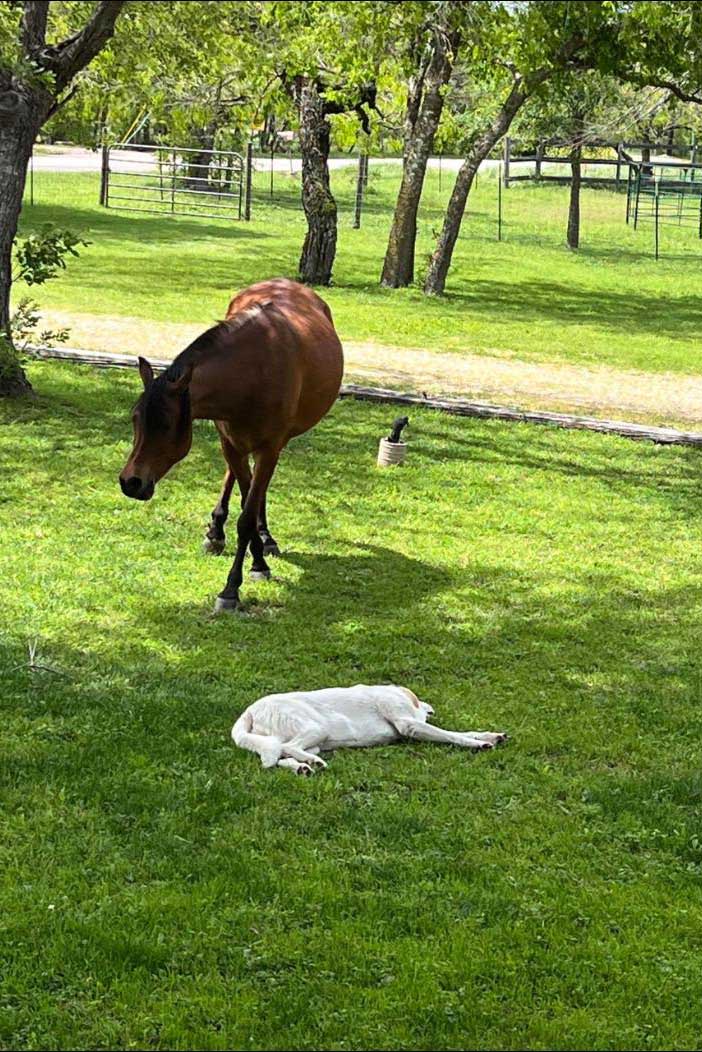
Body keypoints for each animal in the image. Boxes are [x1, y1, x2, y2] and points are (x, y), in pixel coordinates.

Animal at [121, 275, 345, 614]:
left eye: (166, 425)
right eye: (135, 419)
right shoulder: (230, 442)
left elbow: (247, 515)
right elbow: (244, 498)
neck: (252, 372)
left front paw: (234, 586)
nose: (130, 482)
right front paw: (254, 558)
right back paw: (218, 532)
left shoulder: (269, 448)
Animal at [233, 685, 507, 778]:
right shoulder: (409, 724)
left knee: (280, 756)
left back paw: (305, 767)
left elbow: (465, 730)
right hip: (314, 728)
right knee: (287, 748)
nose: (432, 707)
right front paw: (477, 744)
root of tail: (251, 709)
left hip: (312, 740)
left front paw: (489, 736)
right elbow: (452, 734)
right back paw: (311, 763)